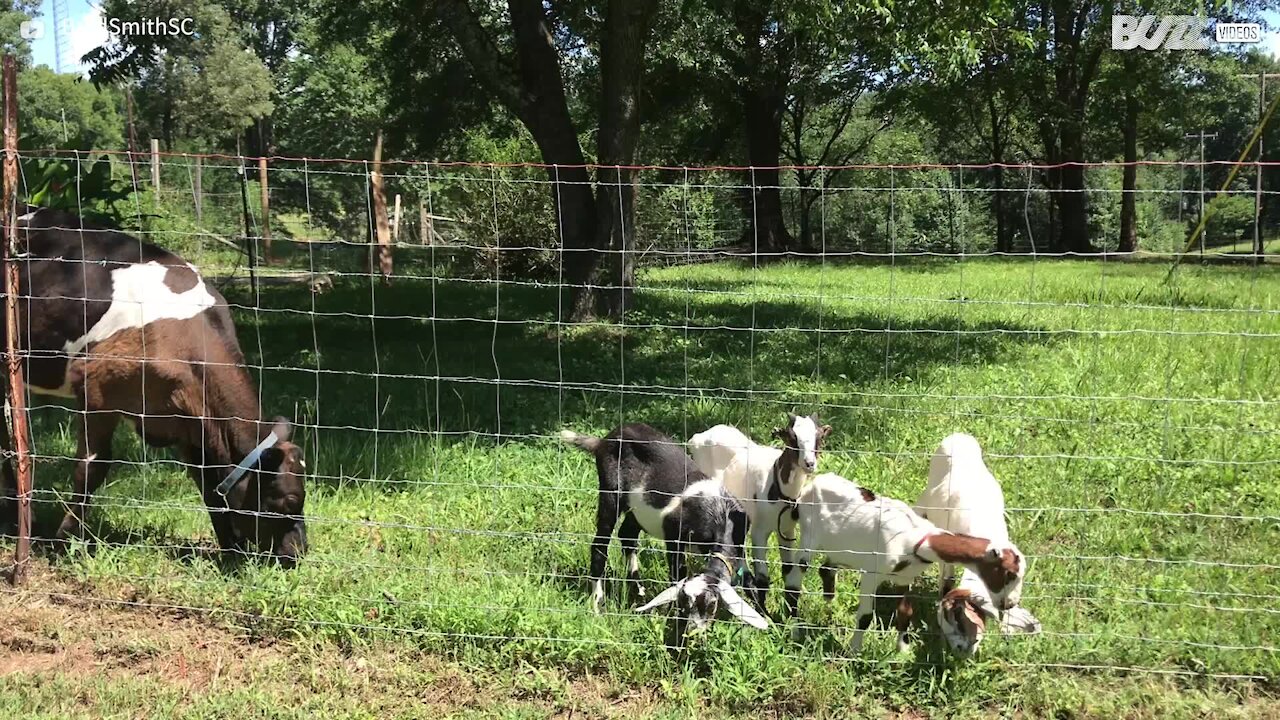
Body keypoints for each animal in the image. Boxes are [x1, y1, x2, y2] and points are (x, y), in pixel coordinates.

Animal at [0, 206, 307, 561]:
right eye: (288, 500)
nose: (300, 551)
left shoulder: (188, 414)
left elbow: (207, 483)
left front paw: (230, 549)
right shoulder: (97, 393)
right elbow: (92, 469)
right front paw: (63, 541)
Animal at [563, 422, 768, 630]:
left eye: (712, 604)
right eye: (685, 602)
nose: (693, 629)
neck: (720, 515)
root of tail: (604, 440)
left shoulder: (738, 542)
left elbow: (749, 581)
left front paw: (766, 618)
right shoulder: (674, 536)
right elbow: (678, 574)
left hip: (636, 509)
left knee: (627, 535)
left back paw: (638, 590)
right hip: (610, 491)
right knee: (600, 544)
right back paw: (598, 603)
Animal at [691, 409, 829, 604]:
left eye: (819, 437)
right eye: (792, 437)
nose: (809, 463)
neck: (776, 482)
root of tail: (703, 435)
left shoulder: (786, 530)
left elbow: (788, 570)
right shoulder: (759, 531)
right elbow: (763, 579)